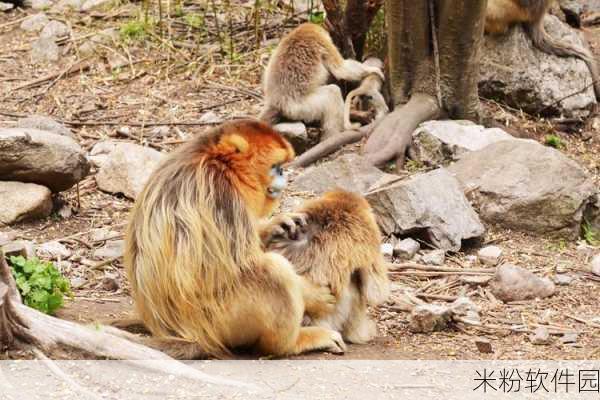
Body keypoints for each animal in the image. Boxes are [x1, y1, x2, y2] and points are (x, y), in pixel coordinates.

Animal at [123, 119, 344, 360]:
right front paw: (313, 295)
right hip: (219, 321)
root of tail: (186, 334)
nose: (283, 172)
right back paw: (291, 343)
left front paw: (275, 225)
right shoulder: (222, 193)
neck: (215, 159)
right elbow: (244, 263)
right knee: (273, 271)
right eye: (275, 165)